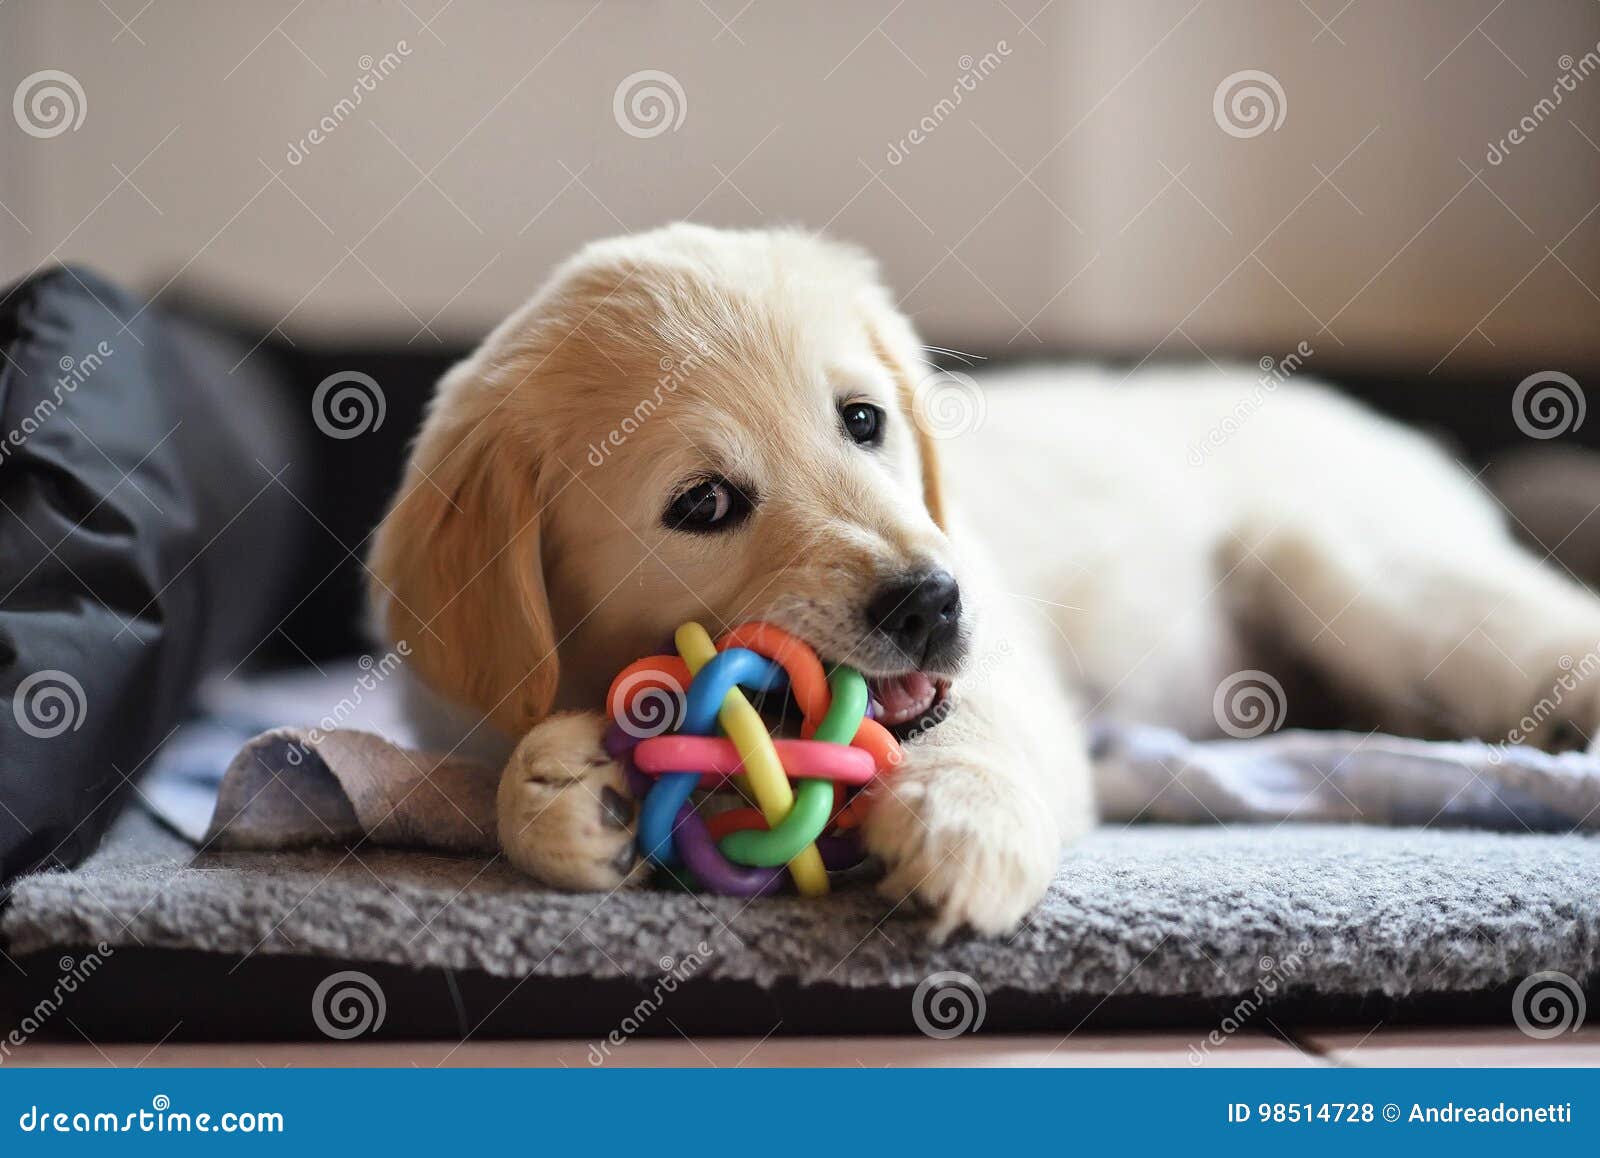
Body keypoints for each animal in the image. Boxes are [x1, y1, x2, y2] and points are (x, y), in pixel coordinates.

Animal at [374, 222, 1600, 934]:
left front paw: (962, 822)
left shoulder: (1010, 666)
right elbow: (503, 770)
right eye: (704, 505)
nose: (929, 602)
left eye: (863, 420)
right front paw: (565, 789)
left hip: (1349, 572)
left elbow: (974, 727)